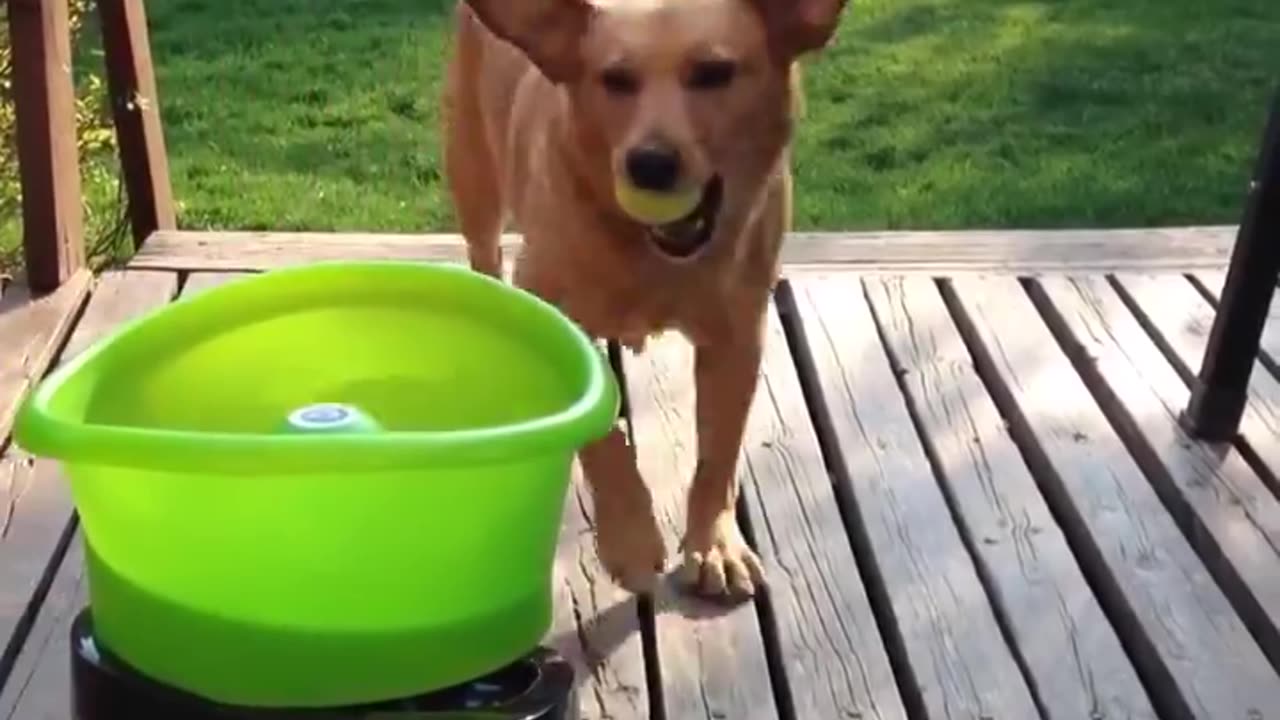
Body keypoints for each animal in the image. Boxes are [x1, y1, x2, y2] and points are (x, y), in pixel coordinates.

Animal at [445, 0, 844, 597]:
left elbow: (719, 454)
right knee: (484, 256)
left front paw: (714, 543)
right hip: (473, 178)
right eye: (615, 79)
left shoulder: (738, 335)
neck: (650, 256)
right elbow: (604, 438)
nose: (649, 164)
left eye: (714, 72)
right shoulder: (556, 307)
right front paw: (629, 538)